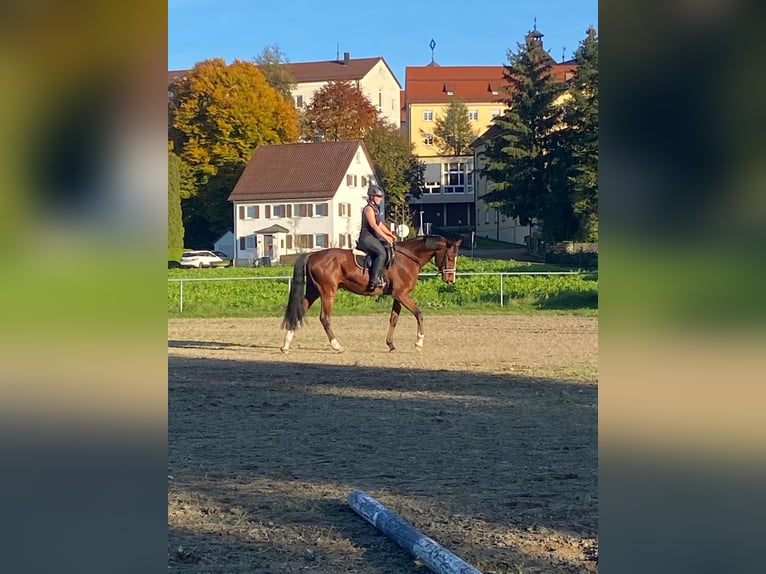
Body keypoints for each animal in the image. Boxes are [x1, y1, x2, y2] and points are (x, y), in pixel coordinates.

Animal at [282, 235, 462, 354]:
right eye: (450, 257)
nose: (450, 279)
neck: (409, 258)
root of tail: (313, 254)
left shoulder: (398, 296)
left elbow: (393, 319)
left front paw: (390, 344)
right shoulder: (402, 294)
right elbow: (419, 314)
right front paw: (419, 343)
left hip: (314, 291)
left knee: (299, 312)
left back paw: (285, 345)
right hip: (328, 292)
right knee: (325, 318)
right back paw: (337, 346)